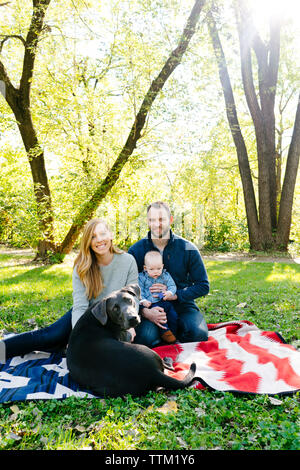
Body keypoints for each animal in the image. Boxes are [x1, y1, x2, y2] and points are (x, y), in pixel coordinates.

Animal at [66, 282, 196, 396]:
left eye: (129, 300)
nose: (132, 318)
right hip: (146, 350)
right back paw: (169, 358)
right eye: (115, 308)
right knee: (169, 366)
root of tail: (152, 372)